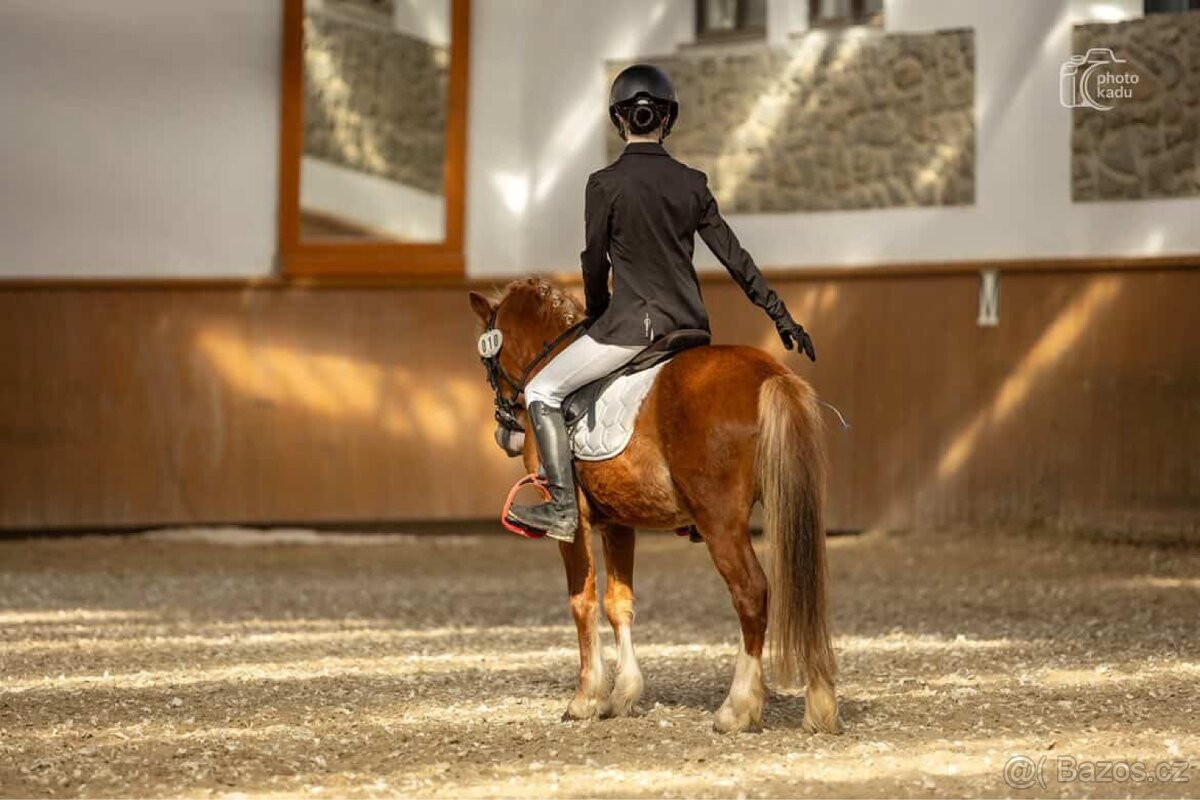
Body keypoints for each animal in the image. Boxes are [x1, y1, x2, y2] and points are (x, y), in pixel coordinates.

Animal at [468, 278, 837, 734]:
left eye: (487, 361)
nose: (504, 434)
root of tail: (771, 373)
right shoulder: (617, 522)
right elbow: (618, 603)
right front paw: (623, 694)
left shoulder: (575, 522)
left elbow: (582, 601)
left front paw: (586, 698)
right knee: (807, 584)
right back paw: (820, 704)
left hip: (720, 521)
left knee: (752, 592)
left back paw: (738, 708)